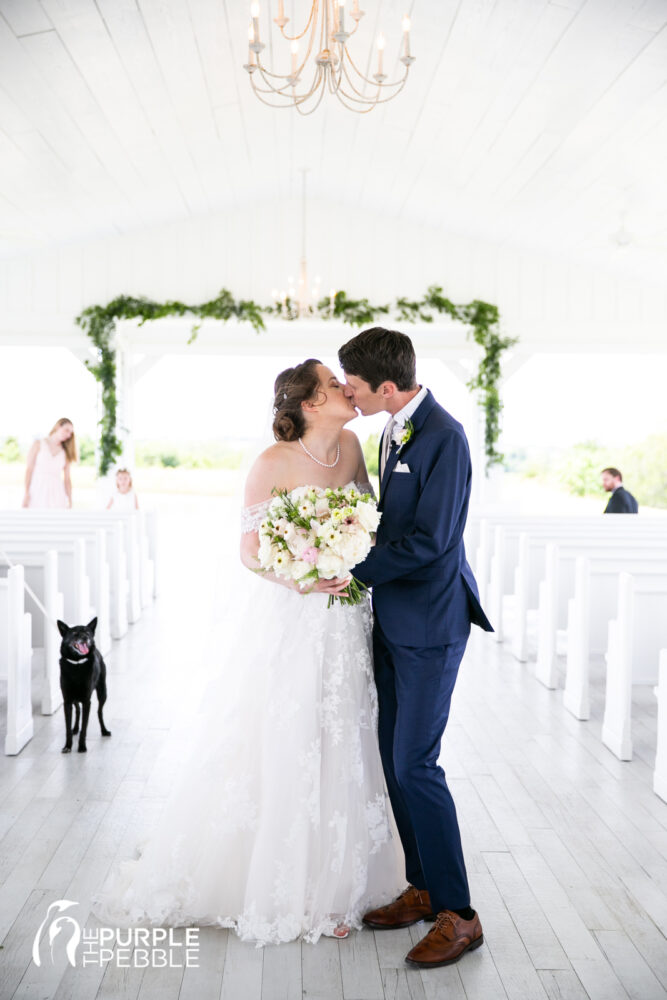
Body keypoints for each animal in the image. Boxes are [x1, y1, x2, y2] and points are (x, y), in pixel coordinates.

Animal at [58, 616, 111, 752]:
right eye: (74, 633)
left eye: (87, 632)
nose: (85, 637)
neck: (77, 664)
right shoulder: (67, 701)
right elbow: (67, 727)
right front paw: (67, 746)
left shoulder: (87, 701)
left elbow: (85, 727)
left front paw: (82, 746)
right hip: (75, 699)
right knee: (77, 709)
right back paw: (76, 728)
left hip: (103, 693)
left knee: (99, 712)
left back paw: (104, 730)